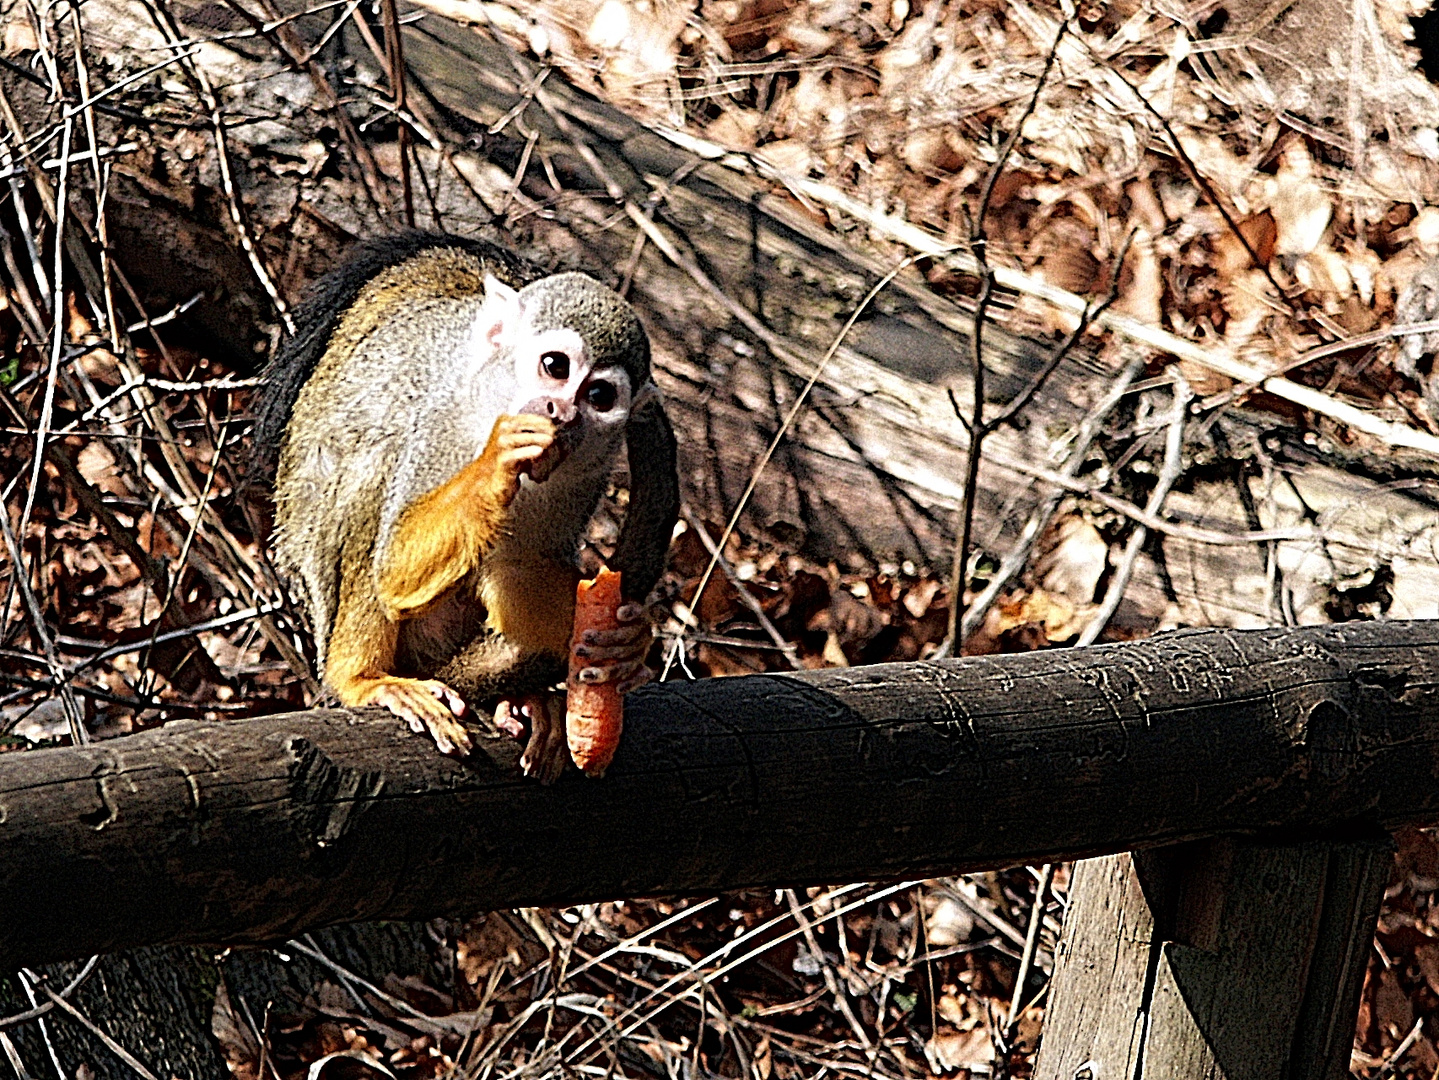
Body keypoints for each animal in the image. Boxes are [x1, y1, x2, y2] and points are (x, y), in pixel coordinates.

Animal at [254, 232, 679, 782]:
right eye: (555, 367)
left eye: (600, 396)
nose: (562, 412)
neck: (490, 398)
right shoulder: (443, 419)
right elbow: (393, 567)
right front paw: (498, 459)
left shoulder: (586, 469)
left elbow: (522, 566)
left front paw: (623, 641)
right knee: (374, 467)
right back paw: (362, 678)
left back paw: (519, 695)